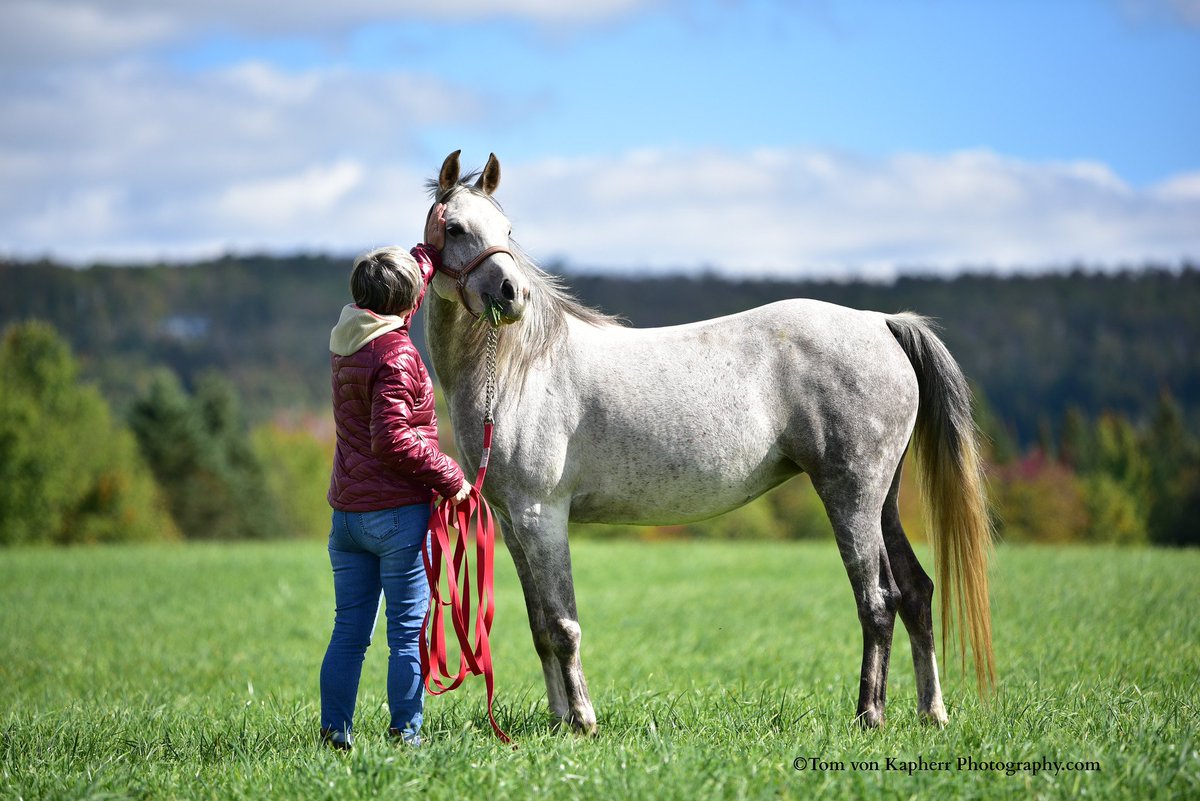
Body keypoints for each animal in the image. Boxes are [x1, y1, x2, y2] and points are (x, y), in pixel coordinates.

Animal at [423, 150, 994, 733]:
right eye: (455, 227)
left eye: (508, 231)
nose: (511, 296)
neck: (521, 369)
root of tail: (882, 323)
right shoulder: (514, 524)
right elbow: (541, 628)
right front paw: (560, 721)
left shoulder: (543, 516)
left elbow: (563, 625)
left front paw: (583, 721)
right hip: (883, 499)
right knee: (917, 593)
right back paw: (932, 712)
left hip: (851, 496)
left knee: (878, 600)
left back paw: (869, 716)